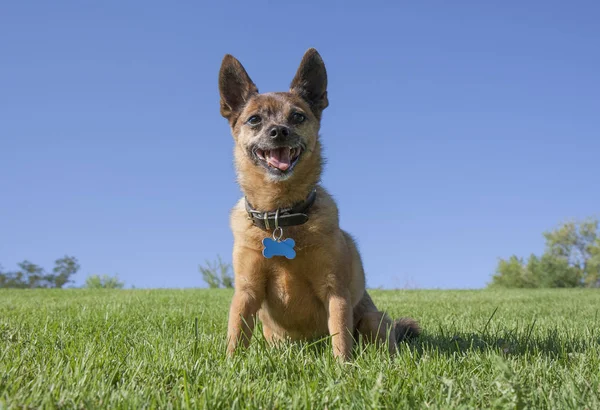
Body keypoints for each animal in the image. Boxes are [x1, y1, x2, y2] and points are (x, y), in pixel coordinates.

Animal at [218, 48, 420, 360]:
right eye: (254, 120)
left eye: (297, 116)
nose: (279, 131)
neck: (281, 217)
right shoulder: (246, 292)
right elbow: (236, 335)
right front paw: (231, 365)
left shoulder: (334, 291)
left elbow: (340, 337)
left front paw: (344, 367)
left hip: (375, 320)